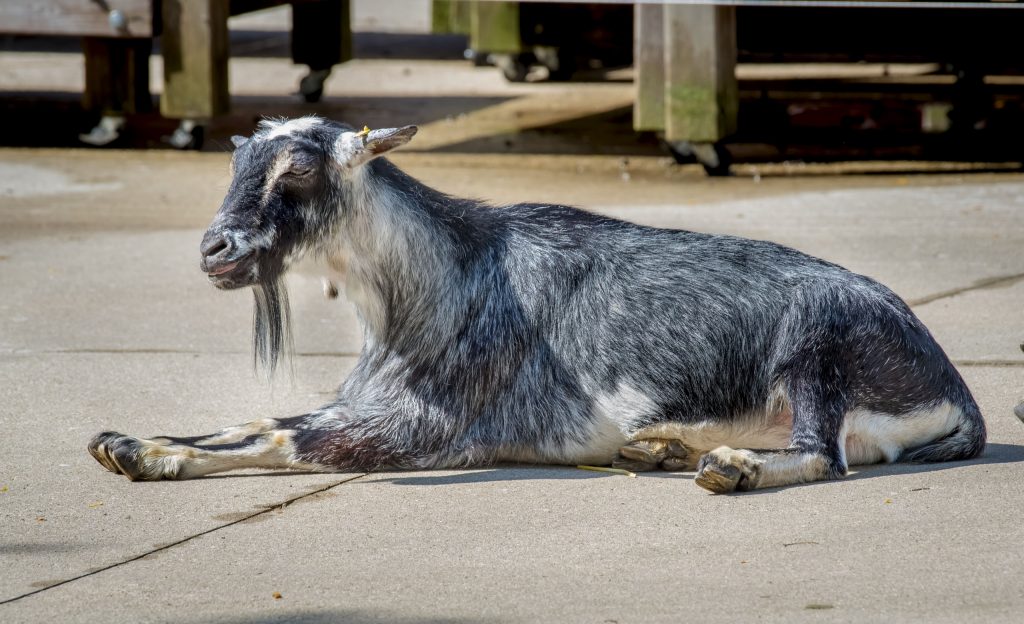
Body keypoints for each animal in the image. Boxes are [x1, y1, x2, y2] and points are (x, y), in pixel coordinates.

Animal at [88, 116, 983, 491]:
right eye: (237, 166)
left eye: (298, 171)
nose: (217, 250)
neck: (436, 284)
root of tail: (956, 389)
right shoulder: (360, 404)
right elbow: (252, 418)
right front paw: (127, 443)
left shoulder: (418, 431)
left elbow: (280, 436)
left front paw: (141, 450)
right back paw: (659, 447)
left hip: (815, 346)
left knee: (824, 454)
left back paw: (729, 469)